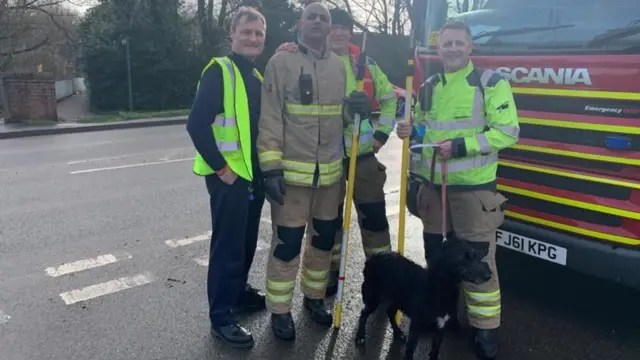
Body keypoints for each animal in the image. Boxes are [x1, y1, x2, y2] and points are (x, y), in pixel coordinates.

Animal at [352, 238, 492, 358]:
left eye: (475, 255)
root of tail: (374, 256)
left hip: (398, 298)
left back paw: (398, 333)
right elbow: (409, 354)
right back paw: (360, 337)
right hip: (374, 297)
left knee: (389, 311)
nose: (489, 275)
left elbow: (435, 352)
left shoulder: (440, 330)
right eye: (464, 257)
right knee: (363, 314)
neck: (440, 290)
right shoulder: (415, 329)